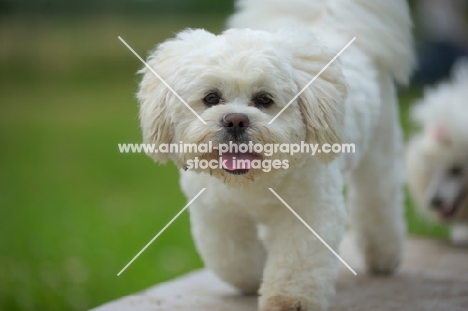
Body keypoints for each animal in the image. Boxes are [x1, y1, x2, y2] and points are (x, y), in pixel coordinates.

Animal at [136, 1, 414, 310]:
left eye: (264, 99)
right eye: (211, 97)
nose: (235, 120)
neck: (252, 182)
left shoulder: (310, 213)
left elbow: (297, 264)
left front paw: (288, 300)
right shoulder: (217, 216)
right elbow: (232, 260)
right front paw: (253, 279)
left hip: (379, 152)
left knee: (378, 201)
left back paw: (383, 257)